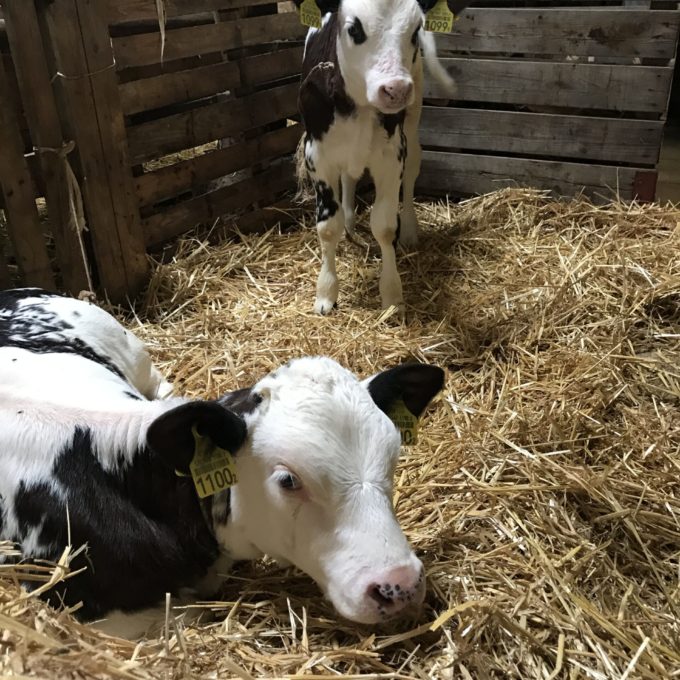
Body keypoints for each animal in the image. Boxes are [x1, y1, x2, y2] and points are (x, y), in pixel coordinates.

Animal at [294, 0, 464, 314]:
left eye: (416, 30)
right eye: (353, 28)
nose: (396, 89)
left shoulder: (391, 154)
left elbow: (384, 227)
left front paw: (392, 295)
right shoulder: (317, 155)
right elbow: (327, 227)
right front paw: (326, 293)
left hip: (413, 113)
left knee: (413, 167)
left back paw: (409, 231)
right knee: (349, 178)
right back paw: (350, 224)